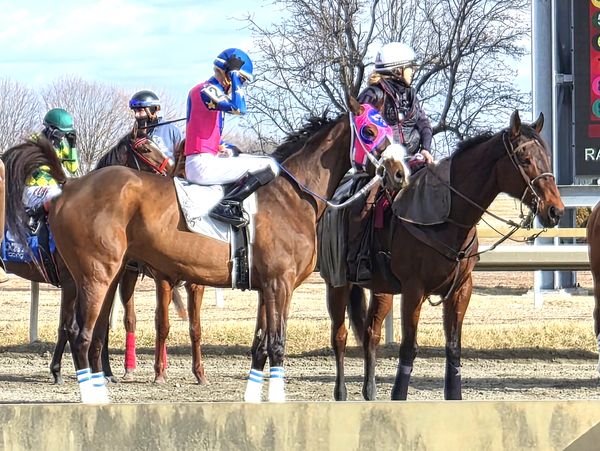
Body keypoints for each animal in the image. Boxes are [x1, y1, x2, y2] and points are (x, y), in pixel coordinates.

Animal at [3, 97, 409, 403]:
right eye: (369, 131)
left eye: (391, 129)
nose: (399, 173)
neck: (291, 195)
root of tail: (67, 186)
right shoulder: (279, 284)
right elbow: (277, 345)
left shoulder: (268, 287)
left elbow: (261, 346)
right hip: (95, 275)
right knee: (82, 335)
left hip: (103, 276)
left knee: (85, 332)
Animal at [324, 110, 565, 401]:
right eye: (525, 159)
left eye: (547, 158)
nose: (555, 210)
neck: (447, 216)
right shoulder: (413, 290)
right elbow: (409, 348)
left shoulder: (461, 289)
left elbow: (453, 348)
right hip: (337, 284)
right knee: (339, 335)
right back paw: (341, 393)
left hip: (381, 289)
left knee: (372, 332)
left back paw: (370, 391)